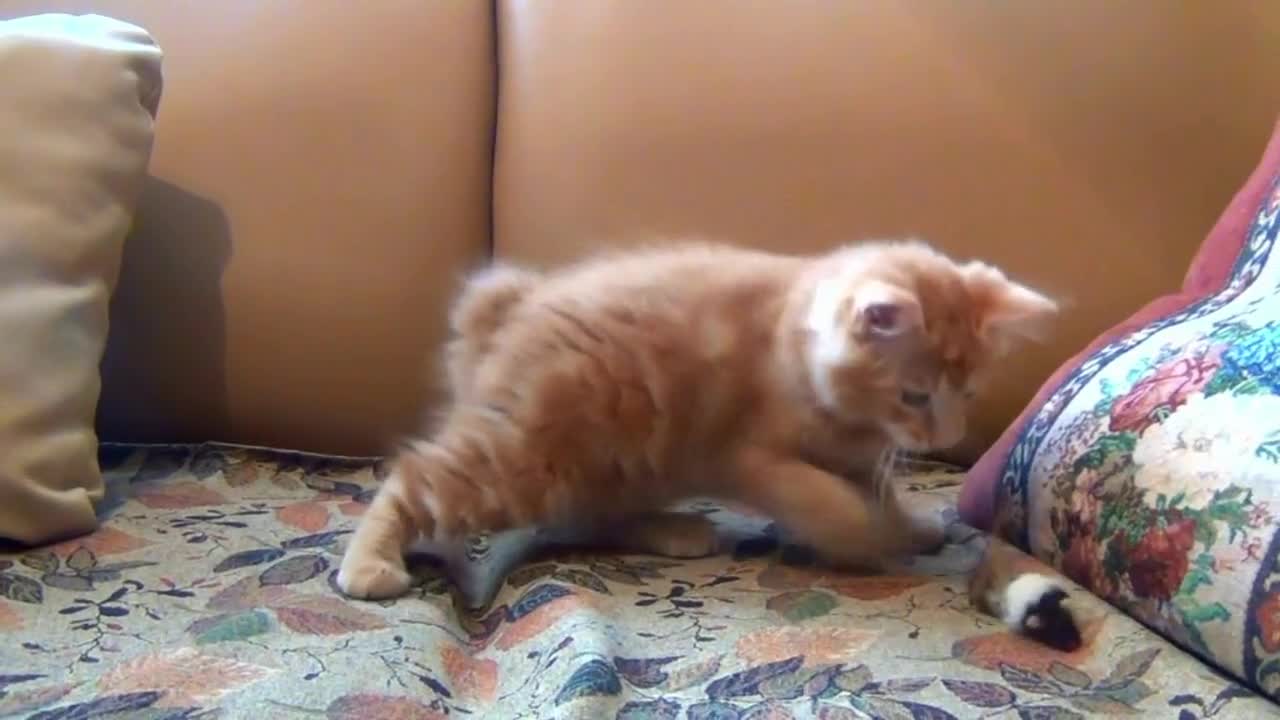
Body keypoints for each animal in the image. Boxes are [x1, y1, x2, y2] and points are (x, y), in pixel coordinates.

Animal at [335, 238, 1054, 597]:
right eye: (914, 396)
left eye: (966, 393)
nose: (947, 436)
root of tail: (513, 307)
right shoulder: (747, 456)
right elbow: (831, 503)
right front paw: (868, 538)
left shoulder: (859, 455)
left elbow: (879, 492)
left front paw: (908, 526)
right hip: (534, 454)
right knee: (414, 478)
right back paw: (368, 566)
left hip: (604, 458)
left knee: (586, 514)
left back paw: (670, 528)